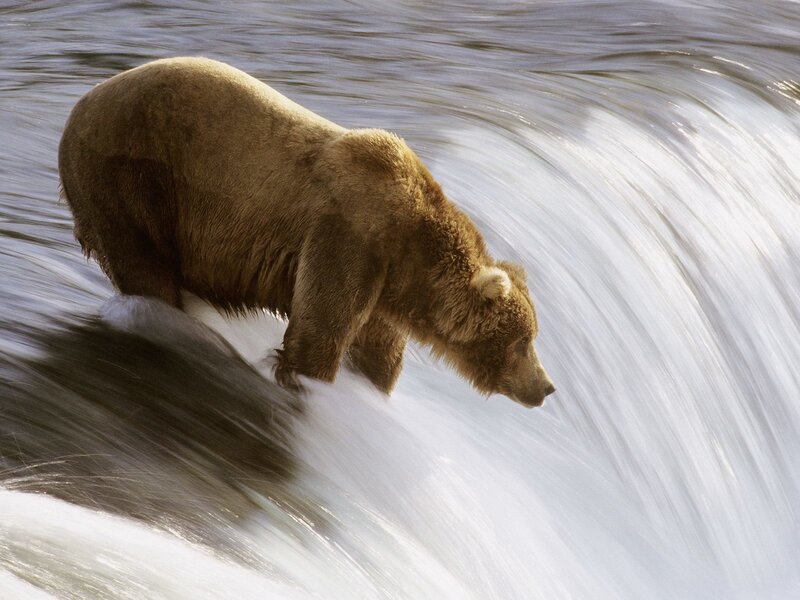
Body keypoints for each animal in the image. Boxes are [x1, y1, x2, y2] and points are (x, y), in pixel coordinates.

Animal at [58, 57, 556, 407]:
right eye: (522, 341)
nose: (546, 386)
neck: (410, 250)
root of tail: (79, 105)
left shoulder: (383, 284)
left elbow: (377, 353)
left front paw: (370, 387)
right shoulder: (349, 236)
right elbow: (320, 331)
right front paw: (308, 382)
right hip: (132, 177)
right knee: (144, 267)